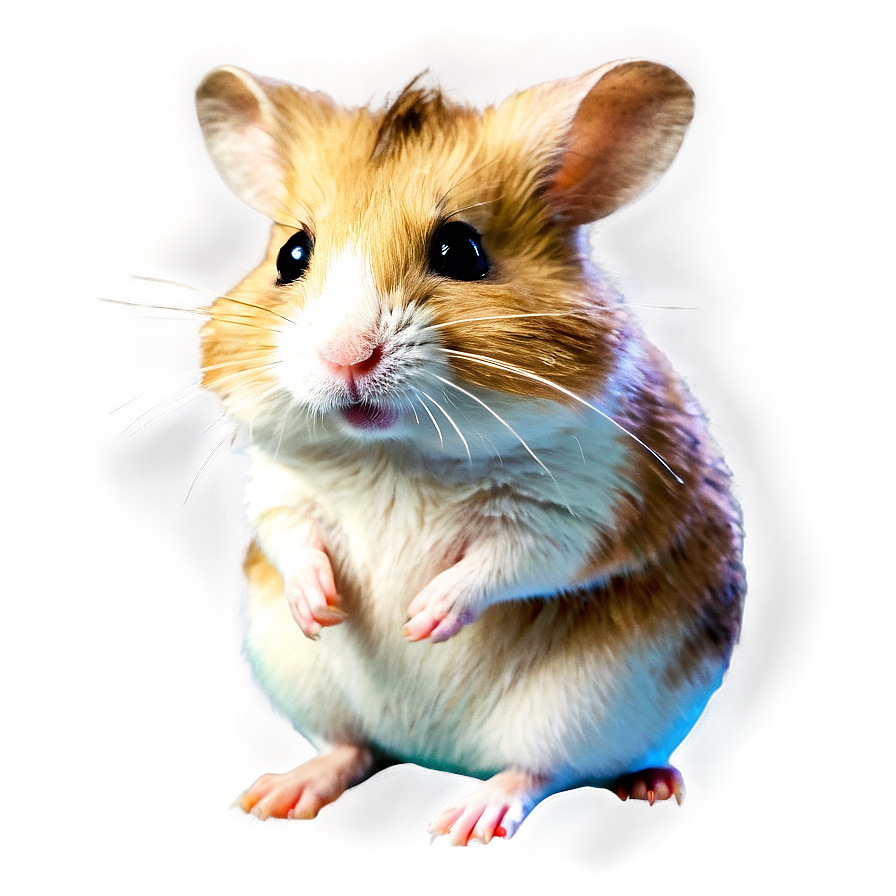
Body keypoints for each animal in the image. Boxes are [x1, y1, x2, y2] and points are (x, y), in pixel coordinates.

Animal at [187, 58, 744, 847]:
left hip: (589, 706)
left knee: (543, 771)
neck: (394, 453)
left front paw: (420, 621)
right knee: (353, 748)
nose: (344, 358)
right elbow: (290, 536)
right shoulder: (276, 486)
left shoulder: (581, 508)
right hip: (305, 681)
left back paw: (490, 819)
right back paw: (279, 795)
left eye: (461, 250)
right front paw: (322, 606)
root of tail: (434, 754)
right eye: (292, 255)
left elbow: (506, 561)